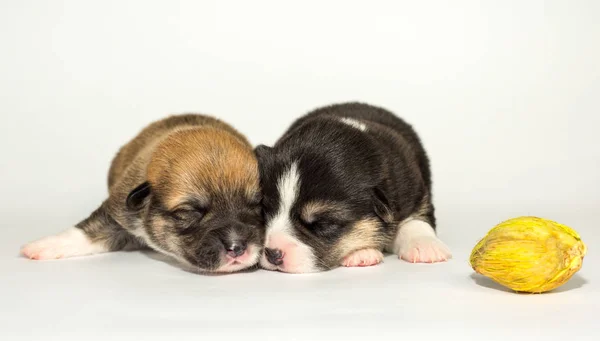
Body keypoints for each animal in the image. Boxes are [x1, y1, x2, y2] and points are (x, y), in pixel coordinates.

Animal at [20, 113, 262, 272]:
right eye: (188, 212)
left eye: (256, 205)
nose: (237, 247)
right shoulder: (118, 210)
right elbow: (88, 230)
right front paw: (44, 245)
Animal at [255, 102, 452, 272]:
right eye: (265, 211)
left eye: (322, 224)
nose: (272, 253)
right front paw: (361, 253)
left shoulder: (415, 193)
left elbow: (415, 221)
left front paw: (426, 246)